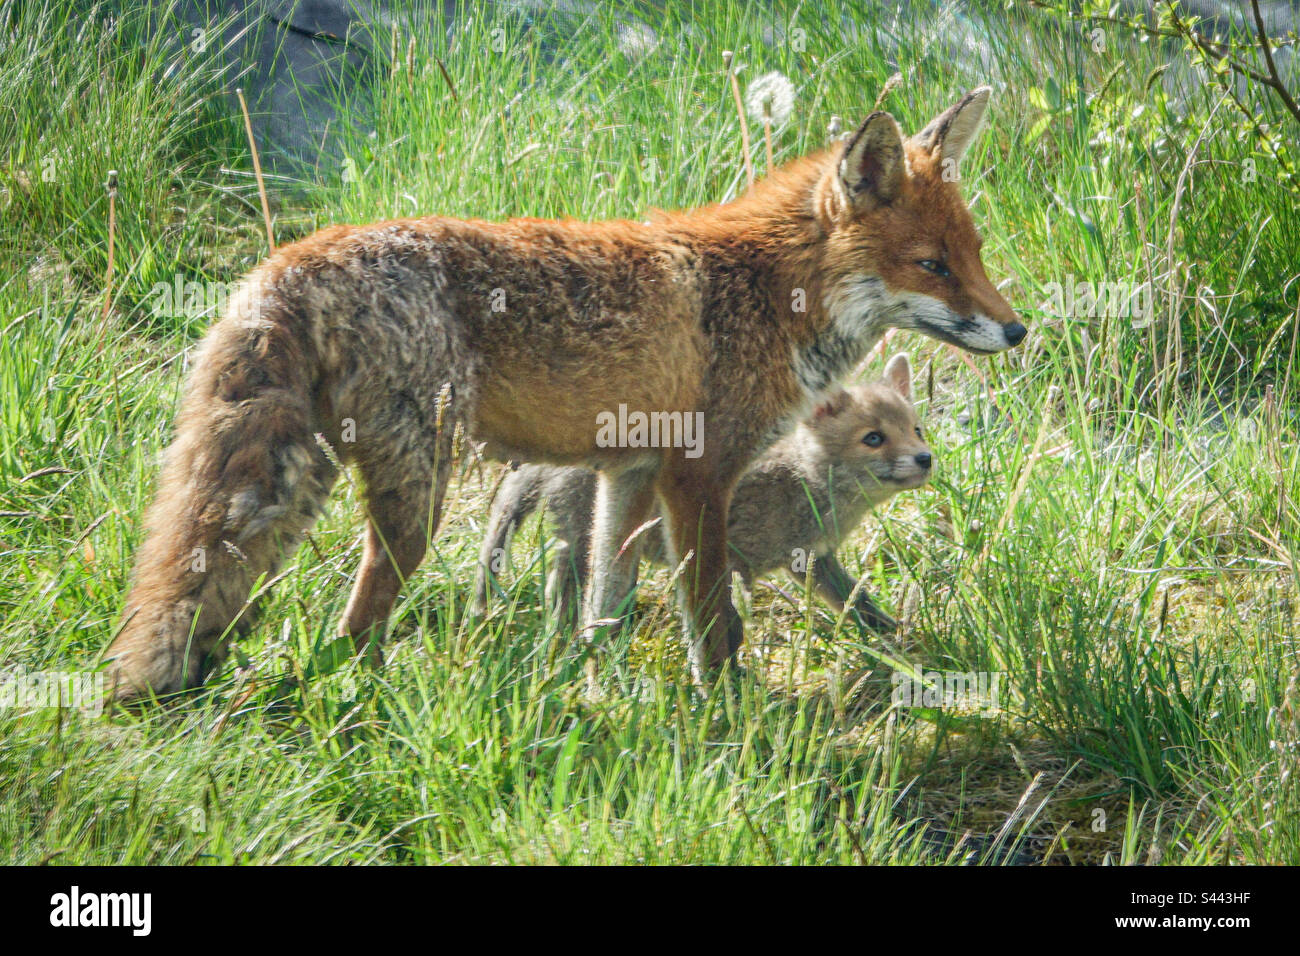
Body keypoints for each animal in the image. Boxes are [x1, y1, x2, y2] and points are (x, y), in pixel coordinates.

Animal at [473, 354, 930, 633]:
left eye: (916, 429)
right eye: (874, 438)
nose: (926, 458)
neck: (801, 480)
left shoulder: (812, 559)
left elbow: (857, 600)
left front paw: (895, 637)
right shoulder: (734, 560)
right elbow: (729, 623)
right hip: (592, 534)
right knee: (563, 582)